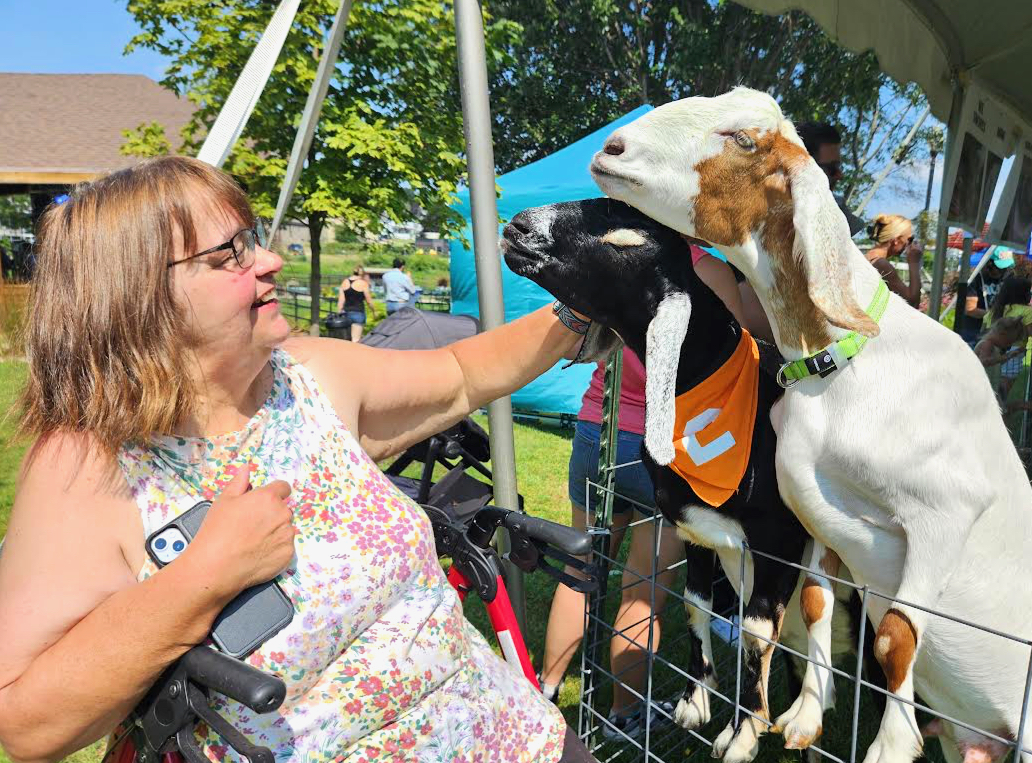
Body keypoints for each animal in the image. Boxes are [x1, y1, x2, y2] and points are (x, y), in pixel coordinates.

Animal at [503, 198, 817, 763]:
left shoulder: (779, 540)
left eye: (624, 239)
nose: (518, 226)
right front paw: (697, 701)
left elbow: (757, 632)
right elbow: (697, 604)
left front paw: (745, 733)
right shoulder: (695, 528)